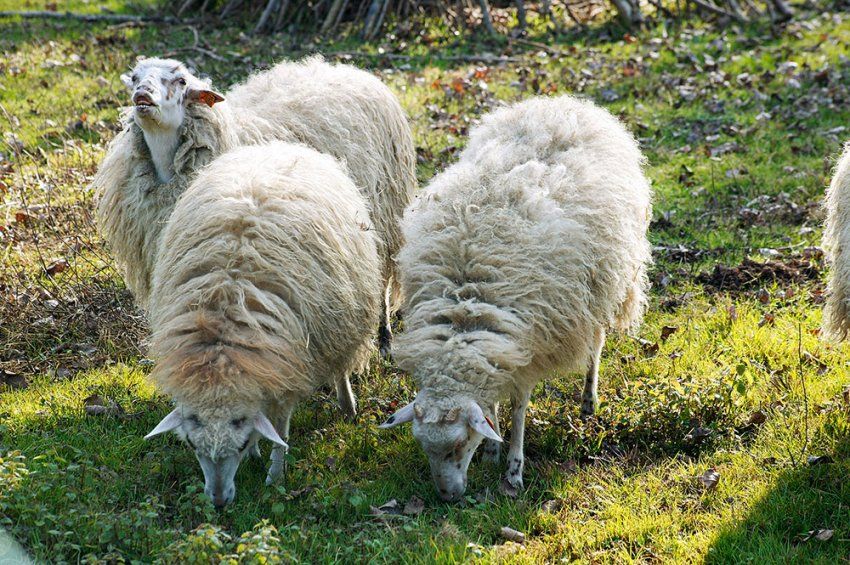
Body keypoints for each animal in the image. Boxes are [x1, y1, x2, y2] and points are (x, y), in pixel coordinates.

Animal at [93, 54, 414, 352]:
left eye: (181, 81)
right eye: (135, 77)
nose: (142, 94)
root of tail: (345, 67)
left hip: (383, 212)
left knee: (381, 278)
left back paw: (384, 336)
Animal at [142, 140, 380, 506]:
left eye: (237, 446)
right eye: (193, 446)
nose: (219, 502)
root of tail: (280, 147)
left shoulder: (286, 369)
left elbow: (279, 429)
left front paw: (275, 475)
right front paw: (258, 453)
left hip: (342, 319)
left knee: (340, 365)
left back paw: (347, 404)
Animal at [380, 94, 652, 500]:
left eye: (459, 444)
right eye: (423, 446)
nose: (448, 496)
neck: (465, 305)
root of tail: (565, 103)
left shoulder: (529, 343)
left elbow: (519, 406)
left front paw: (513, 468)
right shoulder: (497, 345)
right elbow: (491, 401)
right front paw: (492, 450)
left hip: (603, 281)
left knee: (597, 341)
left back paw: (589, 399)